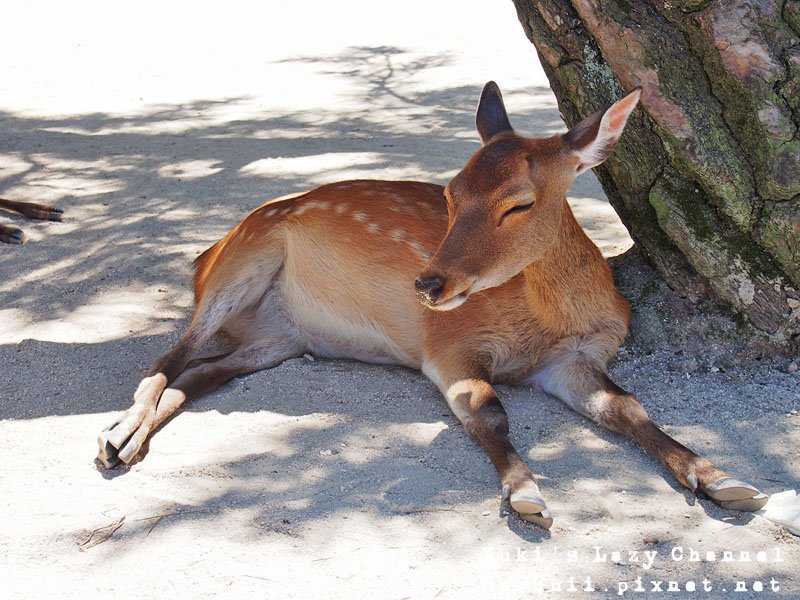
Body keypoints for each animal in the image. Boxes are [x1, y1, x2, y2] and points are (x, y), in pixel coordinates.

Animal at [95, 82, 768, 528]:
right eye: (450, 191)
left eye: (520, 202)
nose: (429, 284)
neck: (547, 323)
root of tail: (203, 255)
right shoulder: (447, 346)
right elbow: (489, 412)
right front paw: (528, 495)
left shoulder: (577, 358)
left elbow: (629, 408)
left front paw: (725, 479)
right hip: (242, 263)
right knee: (165, 358)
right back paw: (115, 437)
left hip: (278, 338)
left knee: (202, 373)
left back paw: (128, 440)